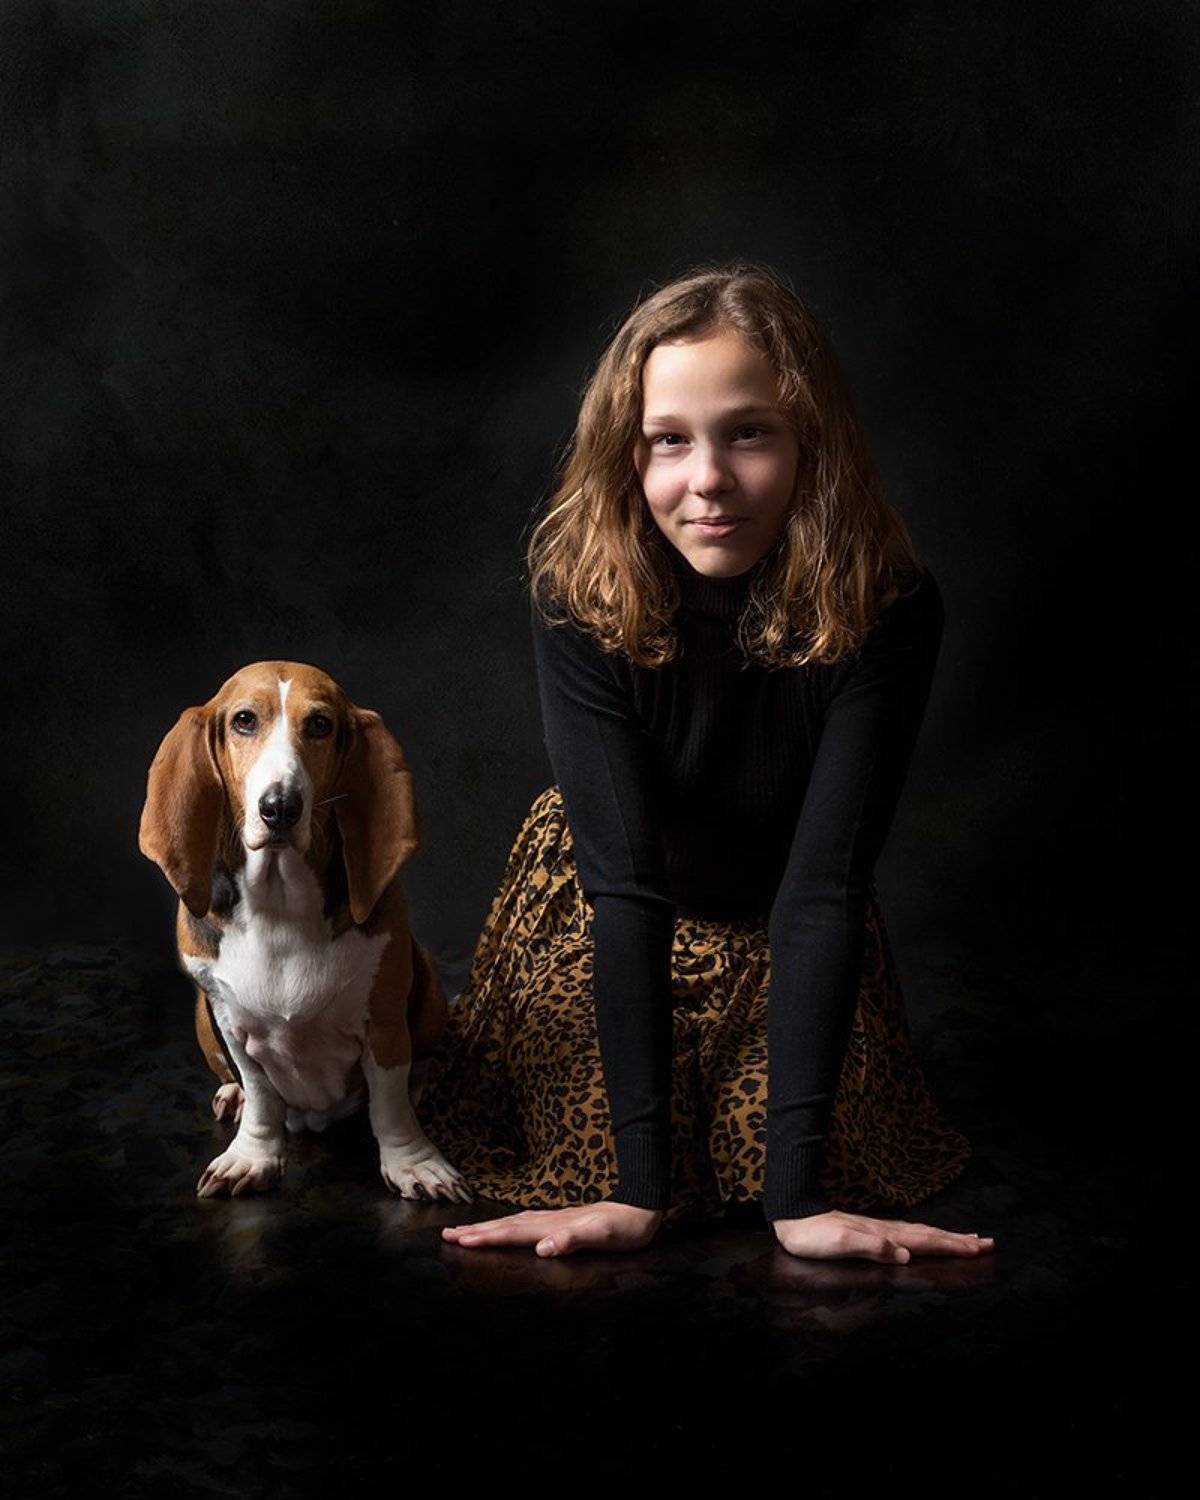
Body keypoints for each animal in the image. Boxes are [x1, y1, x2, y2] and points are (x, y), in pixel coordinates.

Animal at [138, 659, 472, 1204]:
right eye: (244, 721)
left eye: (319, 724)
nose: (280, 807)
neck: (280, 903)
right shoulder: (229, 1019)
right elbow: (260, 1095)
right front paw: (253, 1155)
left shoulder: (383, 1021)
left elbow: (390, 1103)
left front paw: (413, 1161)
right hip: (202, 1019)